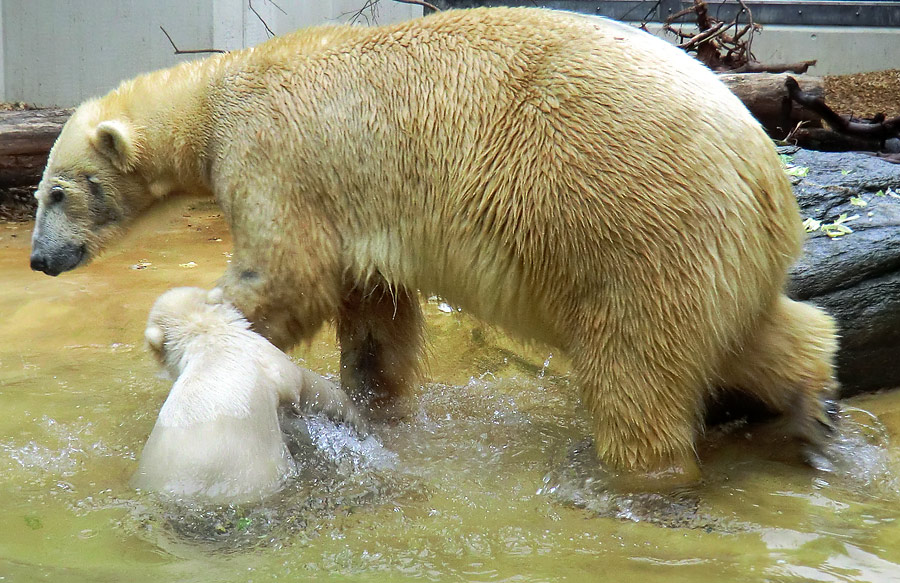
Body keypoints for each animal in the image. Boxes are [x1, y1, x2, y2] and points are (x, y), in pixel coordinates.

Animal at [29, 6, 844, 486]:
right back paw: (815, 404)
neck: (219, 92)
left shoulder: (276, 154)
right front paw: (375, 402)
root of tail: (765, 172)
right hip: (710, 249)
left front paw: (193, 324)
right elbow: (373, 311)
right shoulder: (358, 207)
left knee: (636, 365)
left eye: (58, 192)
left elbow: (286, 274)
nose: (38, 259)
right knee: (757, 331)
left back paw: (638, 476)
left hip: (635, 224)